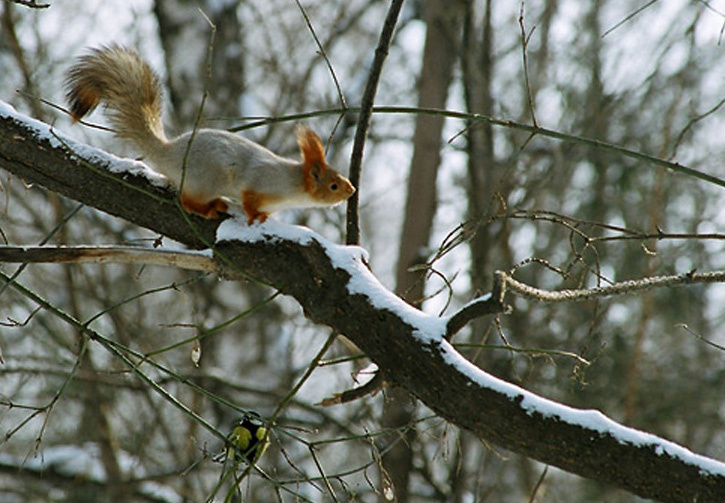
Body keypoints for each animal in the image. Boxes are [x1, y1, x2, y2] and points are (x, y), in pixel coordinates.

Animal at [65, 45, 355, 225]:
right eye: (333, 185)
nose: (351, 191)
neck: (293, 187)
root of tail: (168, 153)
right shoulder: (259, 180)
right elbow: (249, 198)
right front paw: (254, 216)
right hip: (206, 179)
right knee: (186, 201)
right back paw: (210, 208)